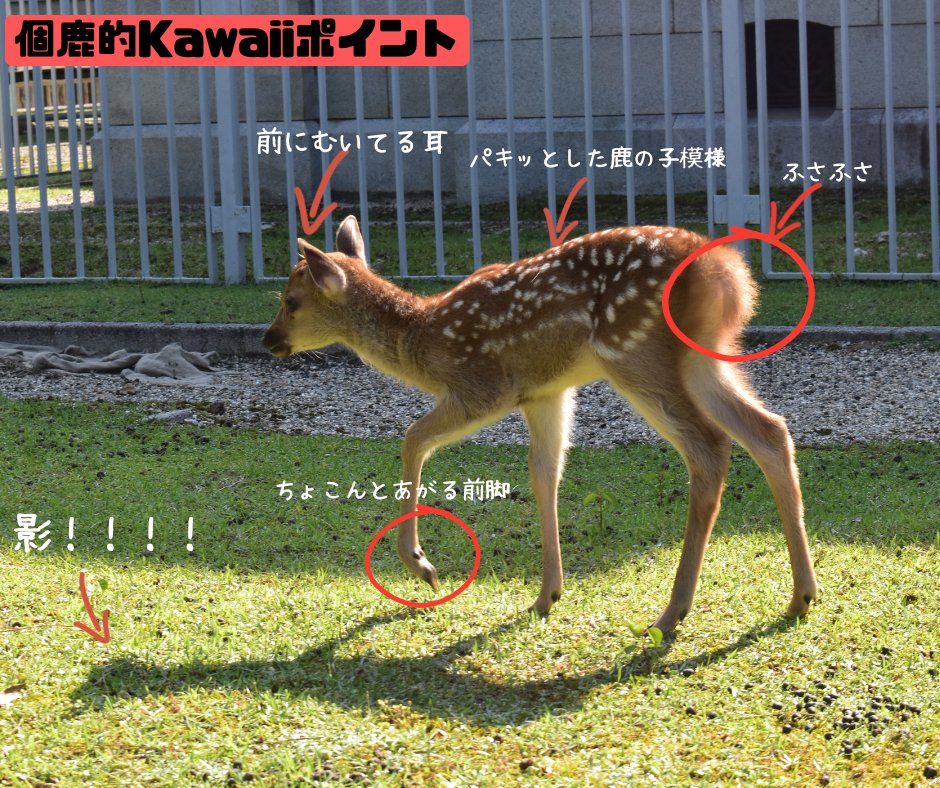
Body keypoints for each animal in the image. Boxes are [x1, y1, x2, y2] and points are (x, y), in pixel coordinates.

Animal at [263, 215, 818, 633]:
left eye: (291, 302)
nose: (269, 340)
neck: (425, 340)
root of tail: (725, 272)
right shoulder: (546, 393)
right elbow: (544, 473)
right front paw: (547, 594)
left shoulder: (484, 385)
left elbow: (413, 437)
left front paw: (422, 565)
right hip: (704, 355)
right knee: (768, 430)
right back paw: (800, 596)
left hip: (635, 351)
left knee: (709, 445)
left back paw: (672, 613)